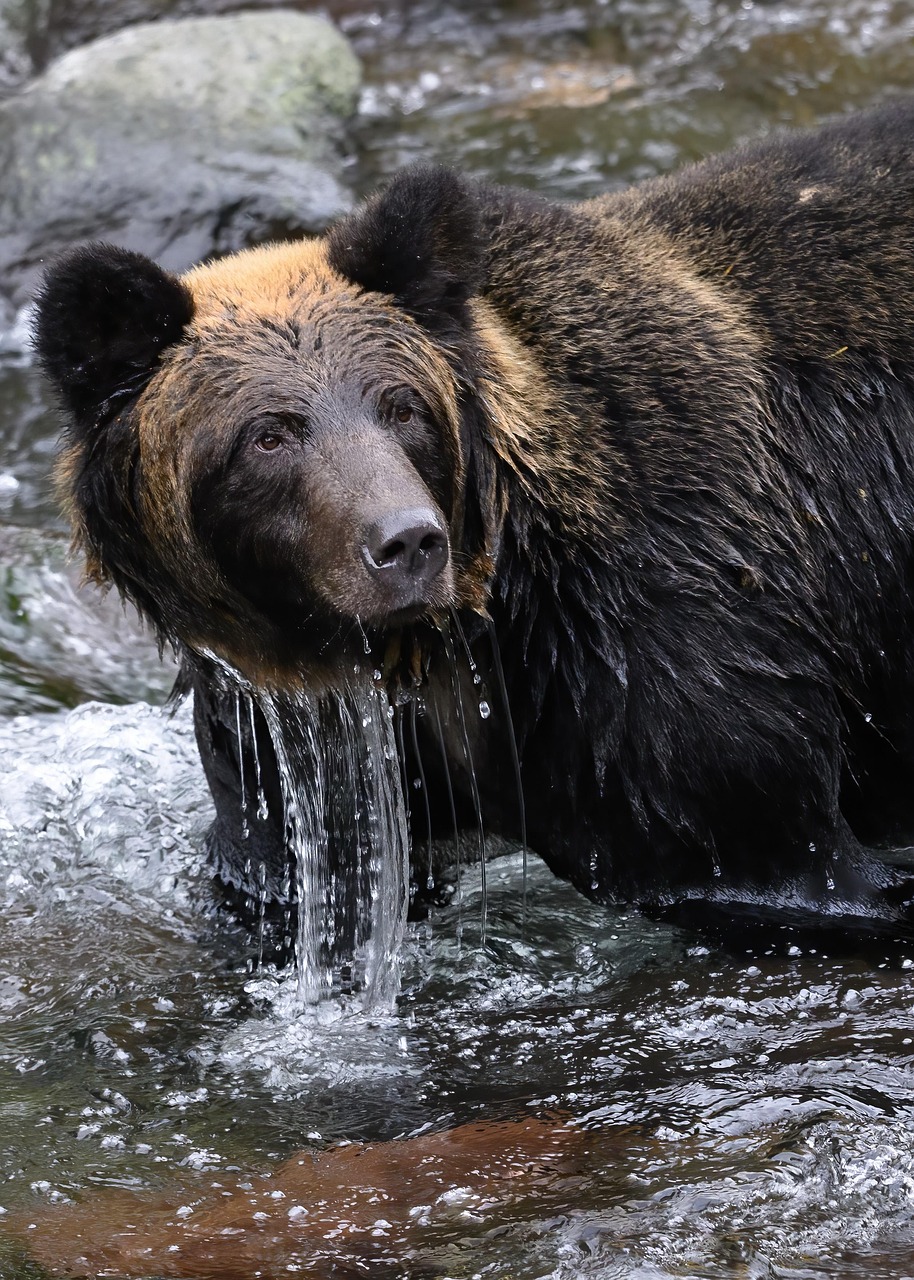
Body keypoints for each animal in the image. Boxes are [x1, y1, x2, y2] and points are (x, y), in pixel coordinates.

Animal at [32, 100, 914, 945]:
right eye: (269, 434)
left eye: (401, 406)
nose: (407, 541)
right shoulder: (293, 744)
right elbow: (293, 875)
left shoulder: (669, 644)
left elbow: (770, 843)